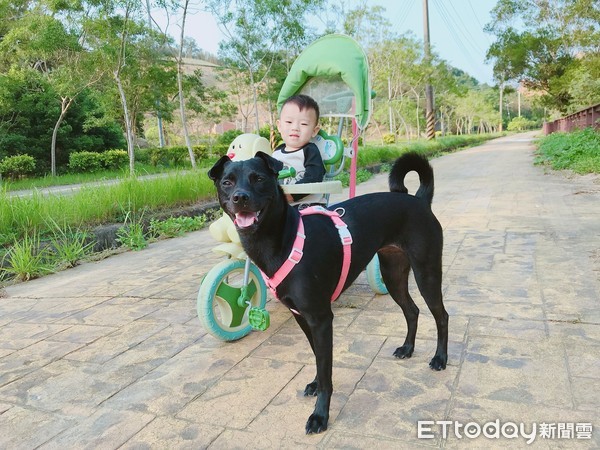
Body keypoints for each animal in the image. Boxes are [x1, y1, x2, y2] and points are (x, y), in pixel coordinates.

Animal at [209, 153, 448, 434]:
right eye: (227, 182)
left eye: (258, 179)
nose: (240, 197)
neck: (282, 240)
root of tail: (419, 200)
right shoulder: (302, 317)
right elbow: (317, 357)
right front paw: (314, 384)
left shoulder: (321, 319)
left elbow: (326, 371)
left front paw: (320, 415)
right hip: (393, 275)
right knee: (412, 310)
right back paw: (408, 348)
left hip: (426, 273)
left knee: (441, 315)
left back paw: (440, 358)